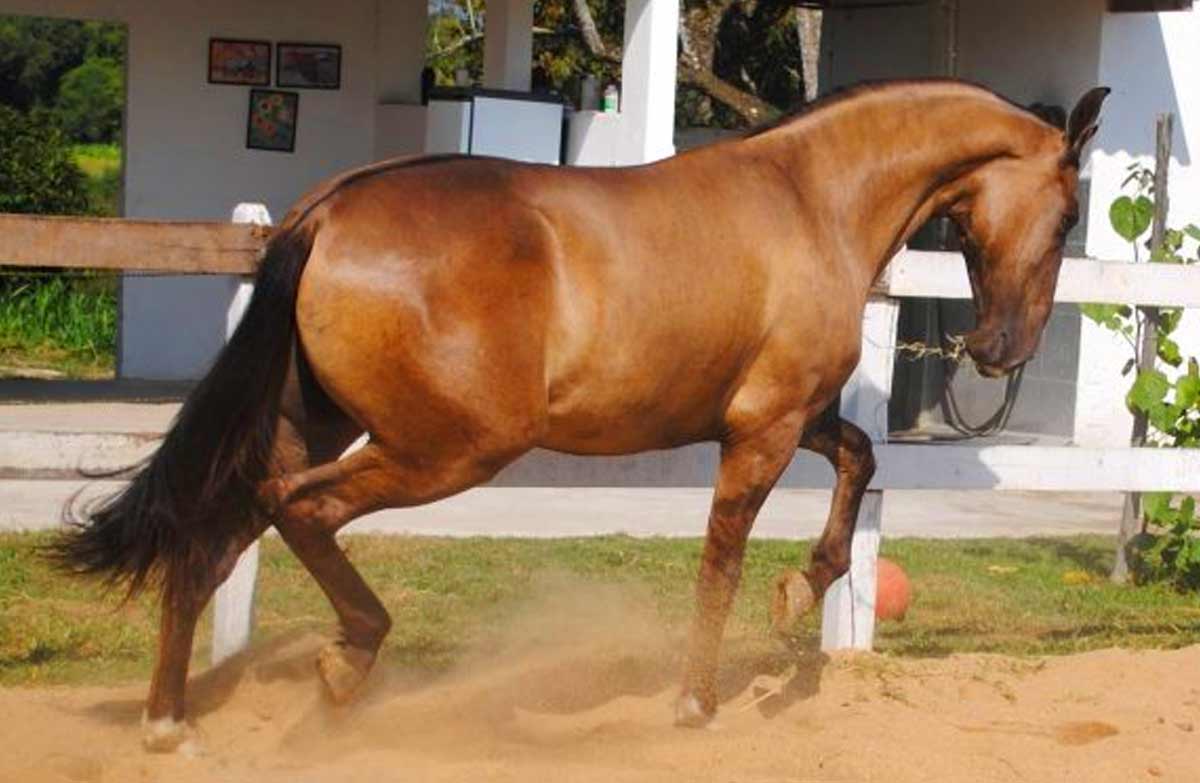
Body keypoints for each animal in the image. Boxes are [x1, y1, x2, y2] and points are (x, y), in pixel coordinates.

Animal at [53, 79, 1109, 752]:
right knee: (298, 509)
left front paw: (801, 590)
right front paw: (696, 702)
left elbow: (857, 460)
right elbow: (723, 556)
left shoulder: (785, 413)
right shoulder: (762, 430)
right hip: (445, 449)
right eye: (1067, 215)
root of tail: (326, 215)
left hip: (315, 423)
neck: (811, 200)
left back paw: (170, 723)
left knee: (211, 536)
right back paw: (346, 665)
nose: (1001, 351)